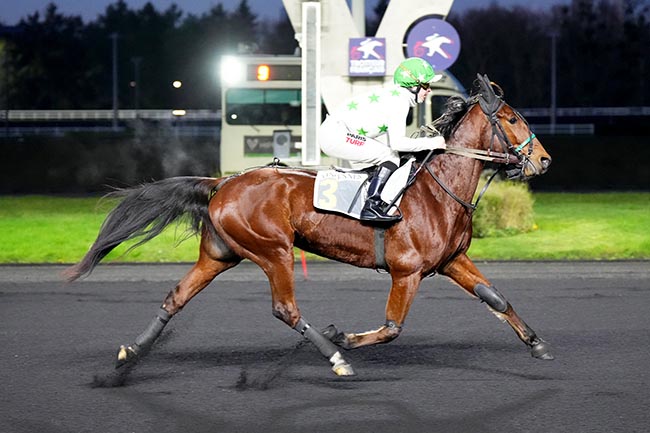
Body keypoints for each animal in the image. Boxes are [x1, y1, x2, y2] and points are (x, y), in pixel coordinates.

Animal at [64, 74, 552, 374]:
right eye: (511, 118)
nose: (544, 160)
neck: (437, 191)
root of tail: (223, 182)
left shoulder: (451, 261)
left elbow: (497, 298)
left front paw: (536, 343)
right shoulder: (407, 271)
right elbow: (392, 328)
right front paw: (346, 338)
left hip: (220, 255)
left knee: (176, 297)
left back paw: (130, 352)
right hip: (273, 250)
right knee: (286, 309)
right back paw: (336, 357)